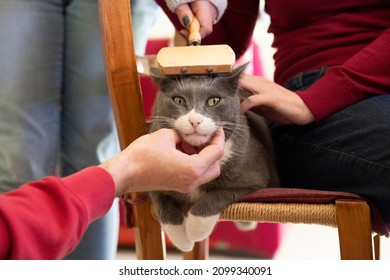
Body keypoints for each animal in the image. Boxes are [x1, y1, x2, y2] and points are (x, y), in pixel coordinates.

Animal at [148, 63, 278, 252]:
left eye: (213, 100)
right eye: (179, 100)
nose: (195, 121)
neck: (197, 152)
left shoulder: (255, 177)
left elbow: (218, 194)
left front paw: (196, 229)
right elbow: (161, 202)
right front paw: (182, 239)